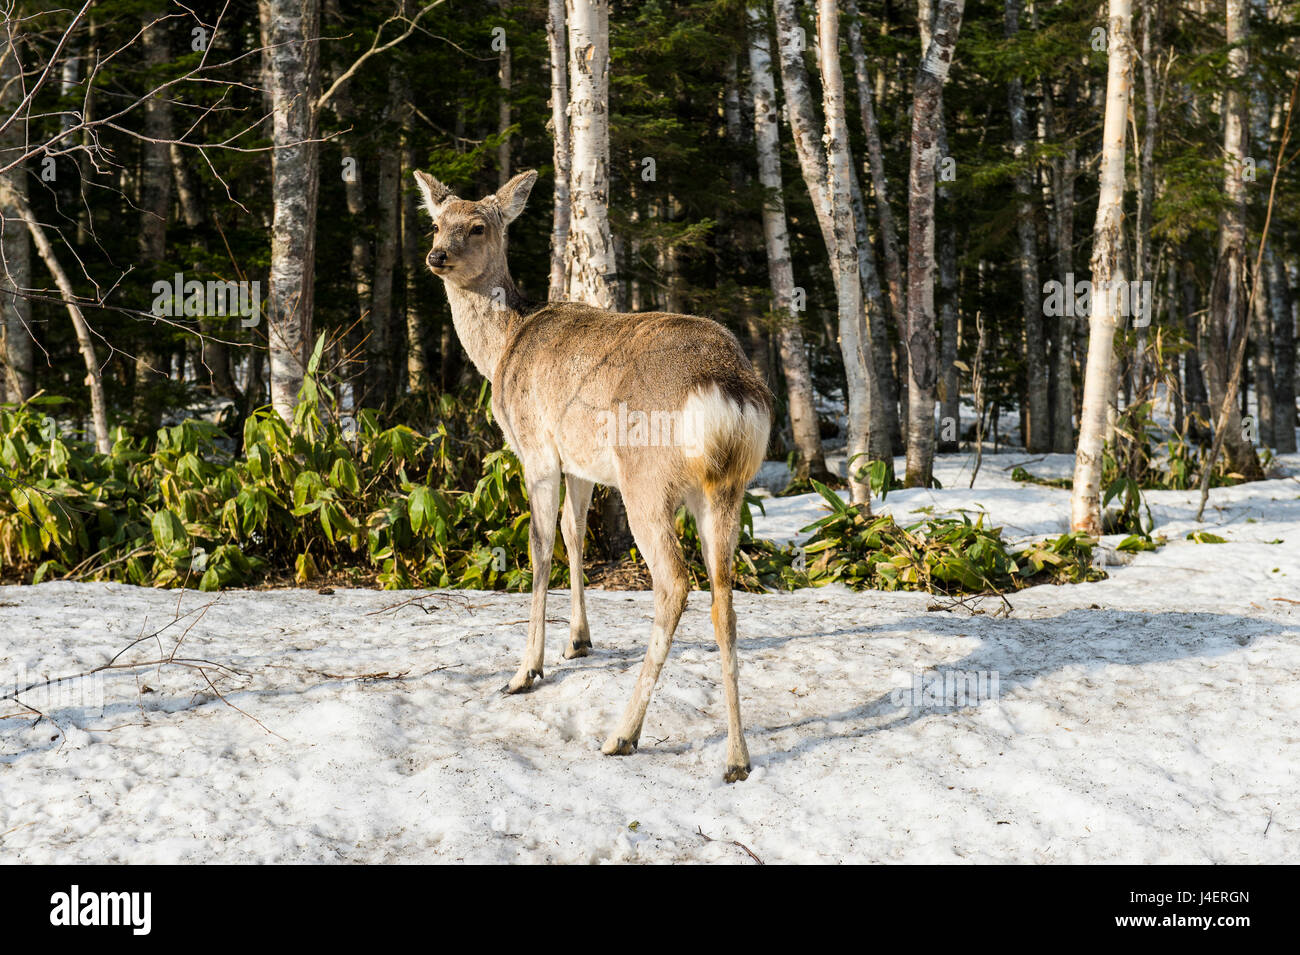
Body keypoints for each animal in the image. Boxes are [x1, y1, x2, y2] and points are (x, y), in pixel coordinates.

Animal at [413, 170, 769, 784]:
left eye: (478, 226)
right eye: (437, 222)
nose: (437, 256)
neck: (502, 349)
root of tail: (728, 390)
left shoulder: (536, 448)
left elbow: (540, 546)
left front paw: (524, 671)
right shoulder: (579, 462)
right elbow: (574, 534)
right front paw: (578, 642)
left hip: (646, 479)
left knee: (675, 583)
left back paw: (623, 734)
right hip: (725, 489)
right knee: (724, 594)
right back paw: (736, 758)